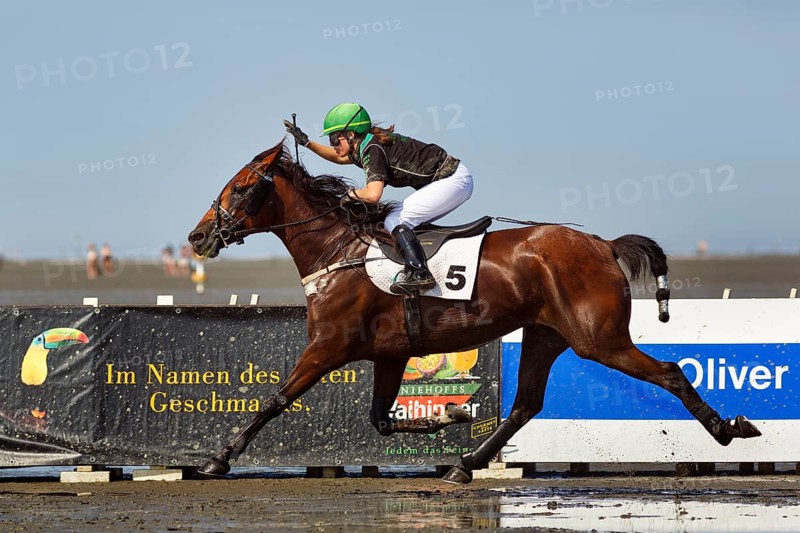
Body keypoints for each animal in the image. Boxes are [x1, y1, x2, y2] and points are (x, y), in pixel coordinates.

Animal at [188, 141, 761, 483]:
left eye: (241, 188)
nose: (197, 237)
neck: (339, 250)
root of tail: (602, 244)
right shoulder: (390, 355)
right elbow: (382, 420)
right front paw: (454, 414)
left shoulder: (329, 345)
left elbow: (275, 400)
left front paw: (219, 457)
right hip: (545, 335)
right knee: (526, 404)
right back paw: (466, 463)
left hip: (598, 340)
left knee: (669, 371)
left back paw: (727, 429)